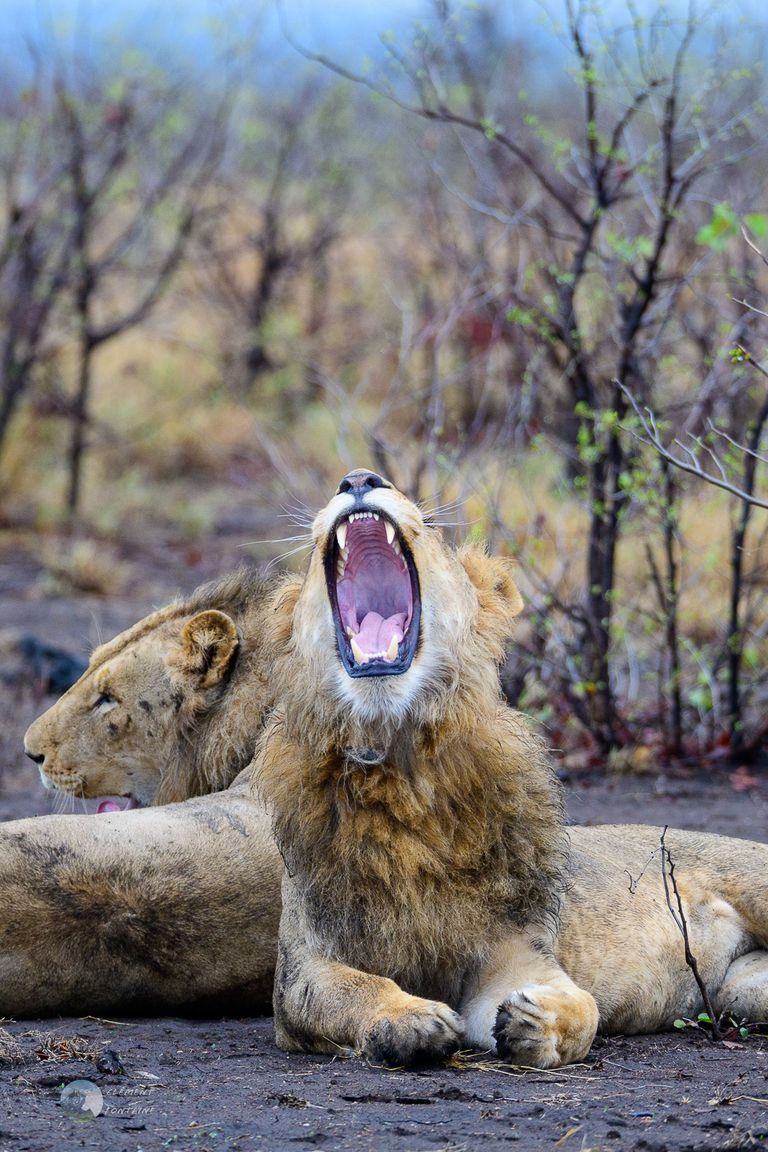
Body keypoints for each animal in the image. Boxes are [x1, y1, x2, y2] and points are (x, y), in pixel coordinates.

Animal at [10, 472, 768, 1064]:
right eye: (92, 682)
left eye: (106, 697)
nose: (29, 751)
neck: (400, 769)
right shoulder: (306, 964)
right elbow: (349, 990)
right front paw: (408, 1019)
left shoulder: (511, 950)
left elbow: (576, 1005)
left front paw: (540, 1023)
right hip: (742, 988)